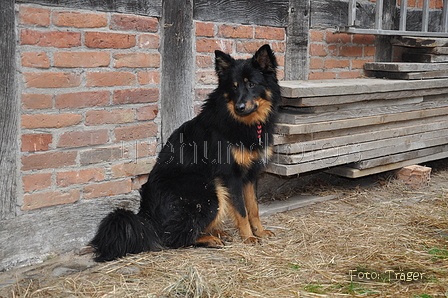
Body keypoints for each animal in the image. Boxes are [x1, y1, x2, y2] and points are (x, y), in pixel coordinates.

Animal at [90, 43, 280, 260]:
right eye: (233, 86)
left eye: (251, 84)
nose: (239, 107)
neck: (243, 123)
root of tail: (148, 217)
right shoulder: (231, 176)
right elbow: (242, 211)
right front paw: (248, 237)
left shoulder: (249, 175)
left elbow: (253, 208)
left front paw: (259, 231)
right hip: (209, 193)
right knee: (174, 238)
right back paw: (210, 239)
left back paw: (217, 233)